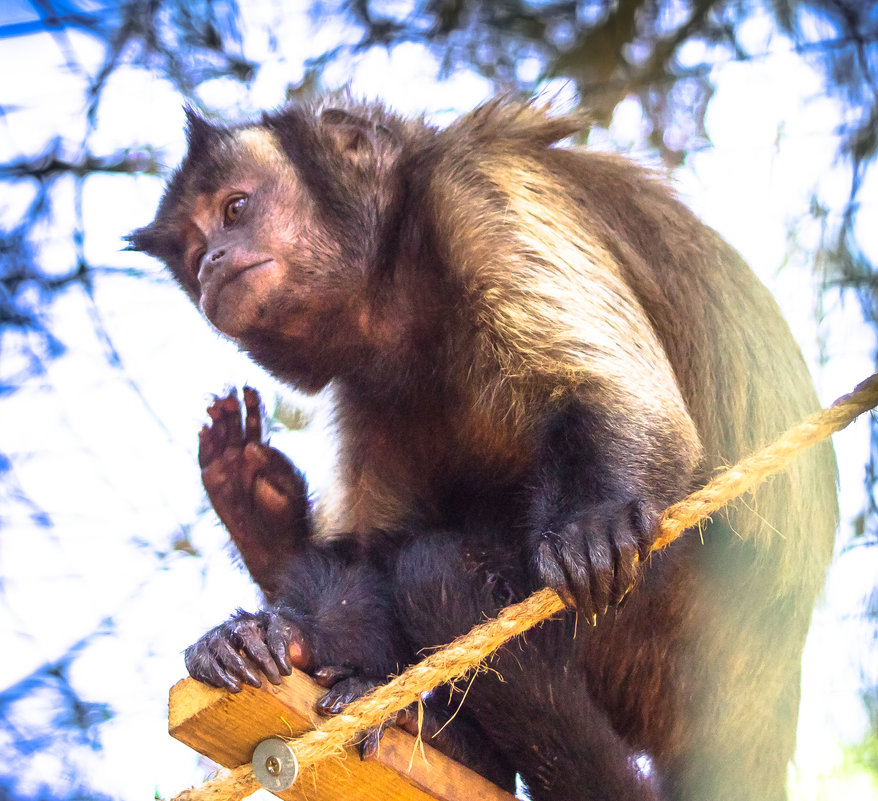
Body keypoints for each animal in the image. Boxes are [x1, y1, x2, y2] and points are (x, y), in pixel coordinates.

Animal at [131, 95, 840, 800]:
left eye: (234, 209)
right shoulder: (364, 383)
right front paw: (284, 627)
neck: (402, 289)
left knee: (436, 572)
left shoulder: (478, 192)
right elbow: (366, 551)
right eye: (193, 247)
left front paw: (595, 521)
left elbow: (623, 397)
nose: (212, 261)